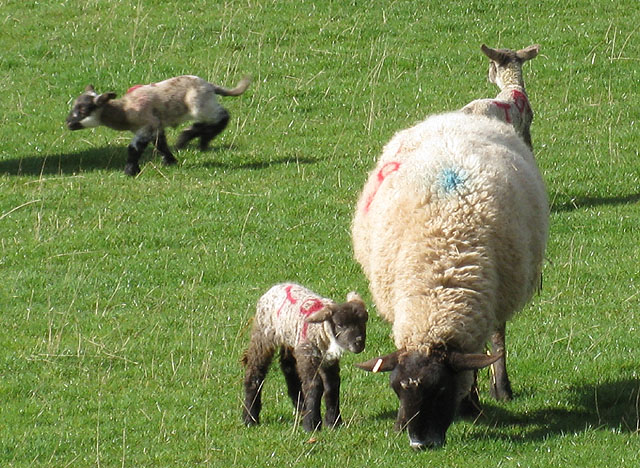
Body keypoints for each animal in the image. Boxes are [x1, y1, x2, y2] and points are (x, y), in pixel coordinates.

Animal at [65, 76, 250, 176]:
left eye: (83, 110)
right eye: (74, 106)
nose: (68, 122)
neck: (124, 110)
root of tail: (210, 85)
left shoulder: (148, 124)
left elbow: (134, 148)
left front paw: (130, 171)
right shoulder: (155, 127)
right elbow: (160, 144)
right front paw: (170, 161)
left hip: (200, 105)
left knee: (223, 116)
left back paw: (196, 138)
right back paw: (193, 136)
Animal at [241, 282, 370, 432]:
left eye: (364, 322)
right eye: (340, 325)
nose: (358, 343)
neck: (322, 331)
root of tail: (278, 286)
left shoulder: (328, 360)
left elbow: (332, 385)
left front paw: (333, 422)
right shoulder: (307, 354)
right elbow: (314, 385)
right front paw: (312, 424)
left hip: (290, 340)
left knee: (288, 368)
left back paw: (301, 406)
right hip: (263, 335)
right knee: (256, 372)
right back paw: (250, 418)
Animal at [352, 110, 548, 450]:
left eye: (441, 389)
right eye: (395, 389)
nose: (420, 443)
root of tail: (451, 116)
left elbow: (475, 359)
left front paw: (471, 405)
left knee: (497, 337)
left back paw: (501, 388)